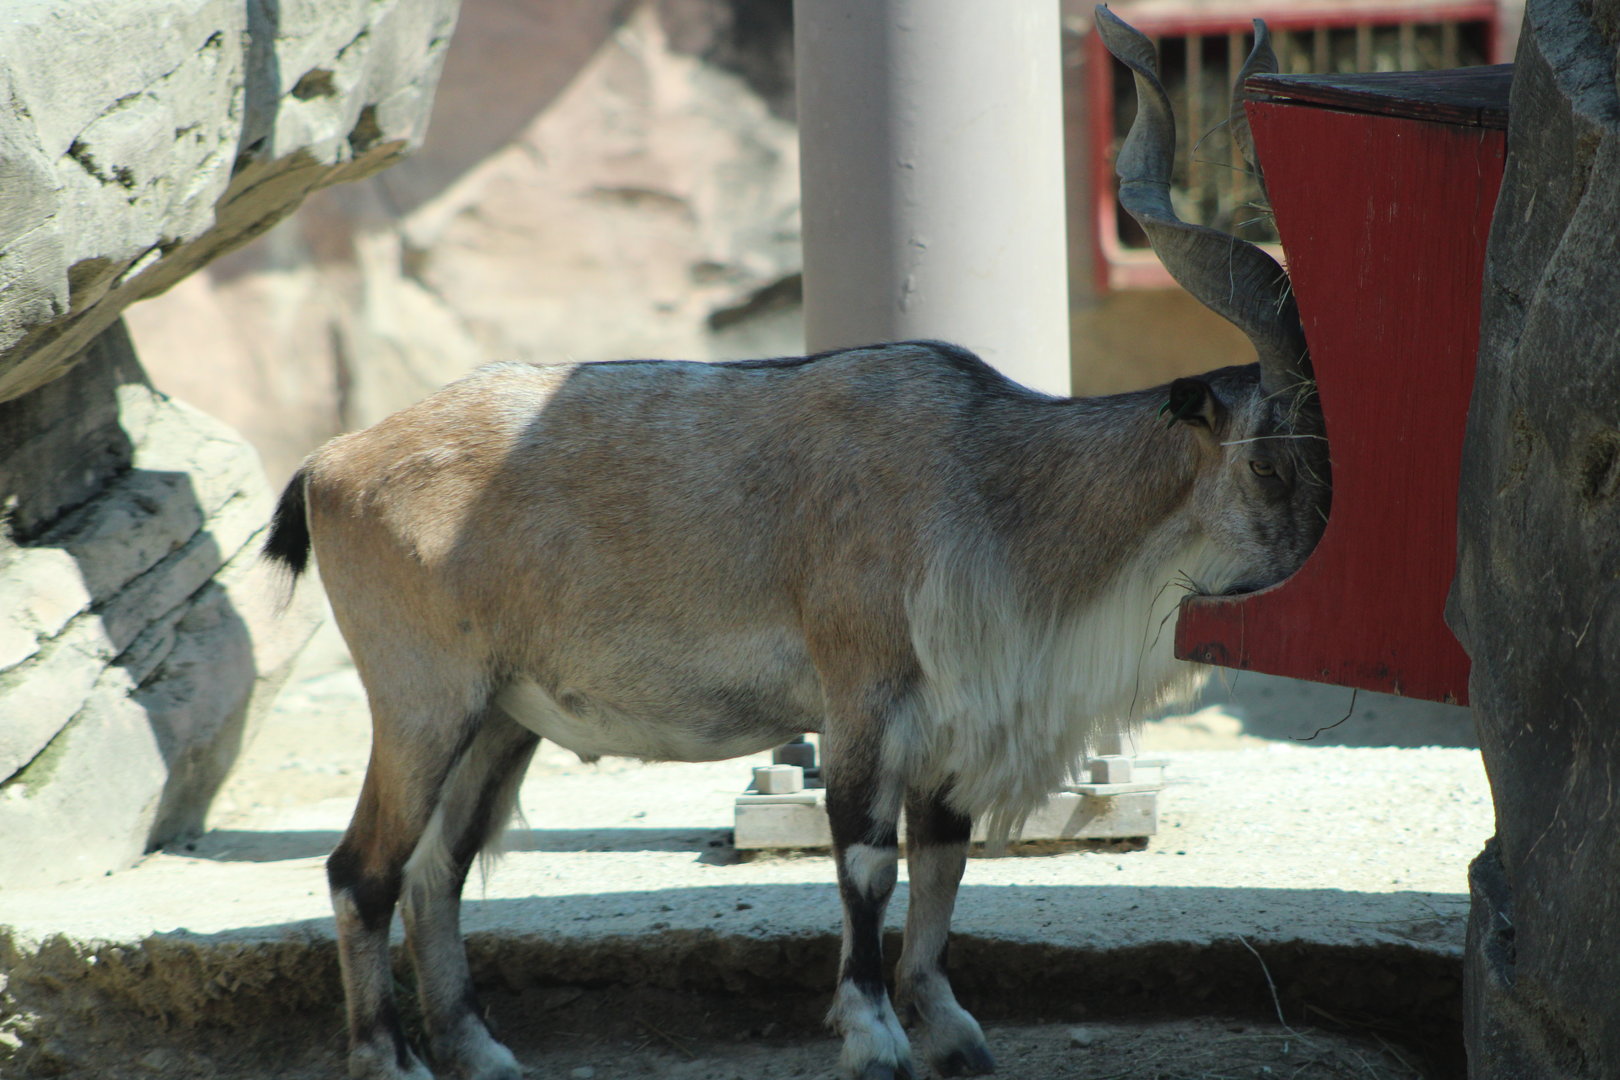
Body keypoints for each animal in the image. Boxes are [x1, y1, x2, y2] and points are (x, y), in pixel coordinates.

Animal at [261, 12, 1326, 1080]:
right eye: (1274, 464)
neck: (987, 480)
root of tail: (330, 464)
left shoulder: (950, 728)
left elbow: (943, 864)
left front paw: (949, 1027)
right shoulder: (861, 697)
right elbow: (866, 861)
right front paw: (875, 1037)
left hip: (498, 717)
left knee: (437, 869)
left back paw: (480, 1051)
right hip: (423, 702)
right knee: (363, 869)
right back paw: (389, 1057)